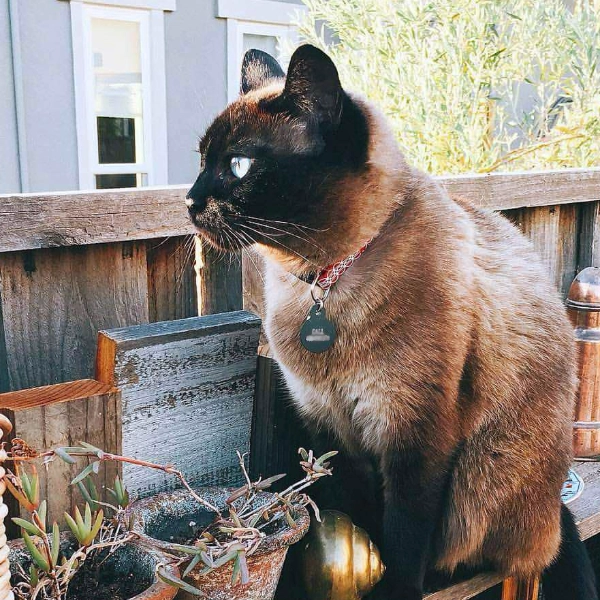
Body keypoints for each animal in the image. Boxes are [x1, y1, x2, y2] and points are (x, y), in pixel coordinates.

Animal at [186, 44, 596, 596]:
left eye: (239, 165)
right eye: (202, 161)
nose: (189, 201)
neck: (322, 280)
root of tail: (554, 508)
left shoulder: (415, 437)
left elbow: (404, 534)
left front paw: (394, 588)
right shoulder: (331, 428)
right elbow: (358, 509)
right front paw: (359, 562)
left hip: (484, 474)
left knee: (487, 550)